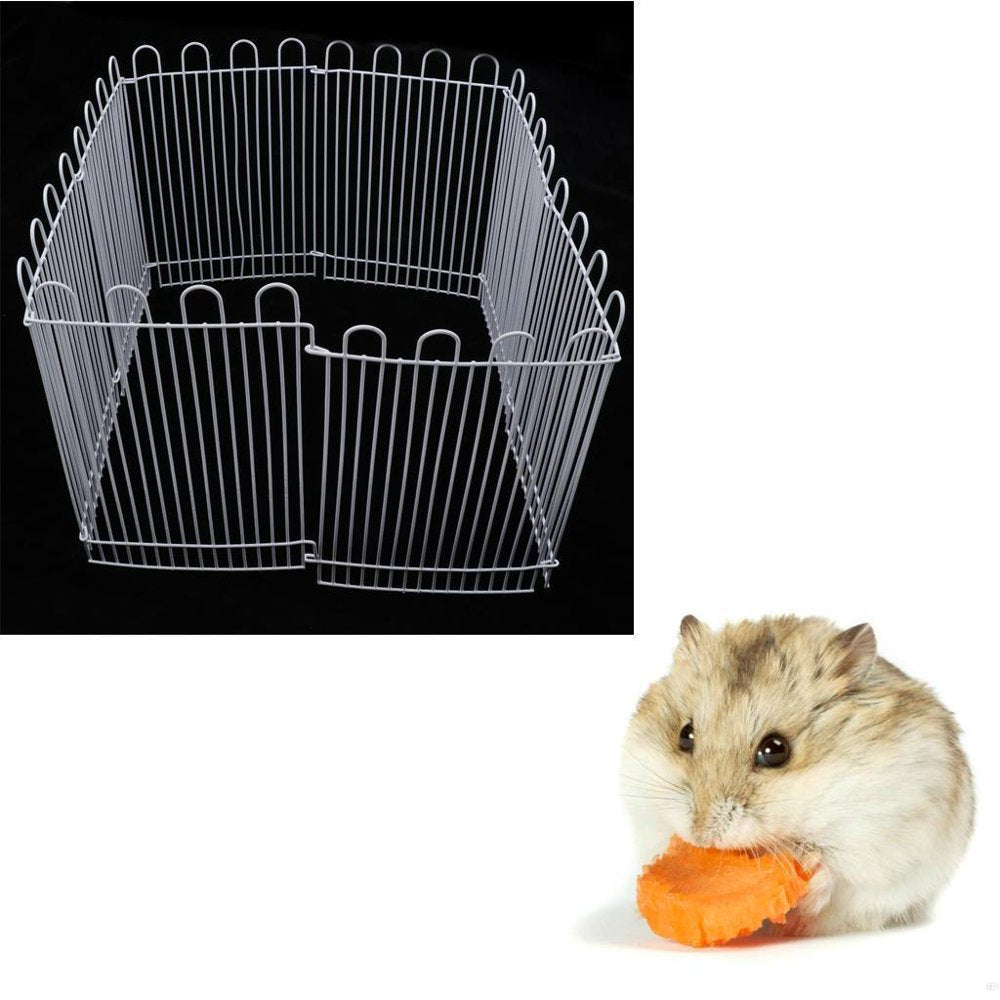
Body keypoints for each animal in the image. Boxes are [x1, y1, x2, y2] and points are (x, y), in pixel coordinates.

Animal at [621, 615, 974, 936]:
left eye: (775, 750)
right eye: (685, 735)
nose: (701, 836)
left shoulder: (884, 828)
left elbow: (838, 872)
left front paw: (809, 871)